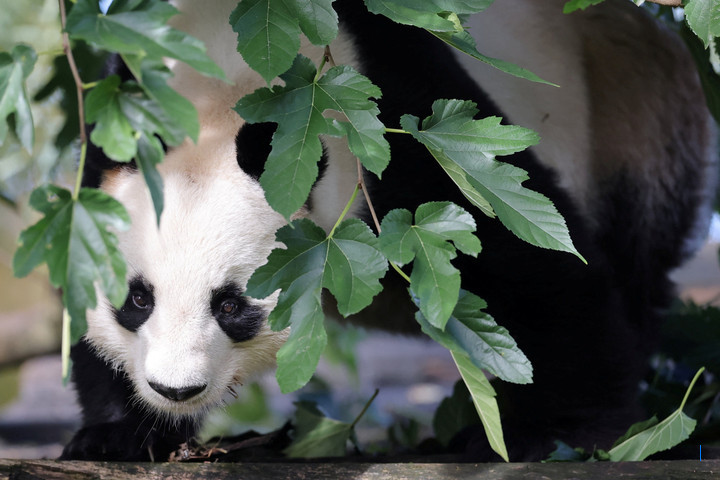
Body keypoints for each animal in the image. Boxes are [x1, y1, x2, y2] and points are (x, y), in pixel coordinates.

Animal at [61, 0, 716, 462]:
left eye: (231, 306)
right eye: (137, 300)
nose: (174, 390)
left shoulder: (396, 125)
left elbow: (535, 268)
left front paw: (557, 433)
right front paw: (119, 433)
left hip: (629, 110)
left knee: (636, 261)